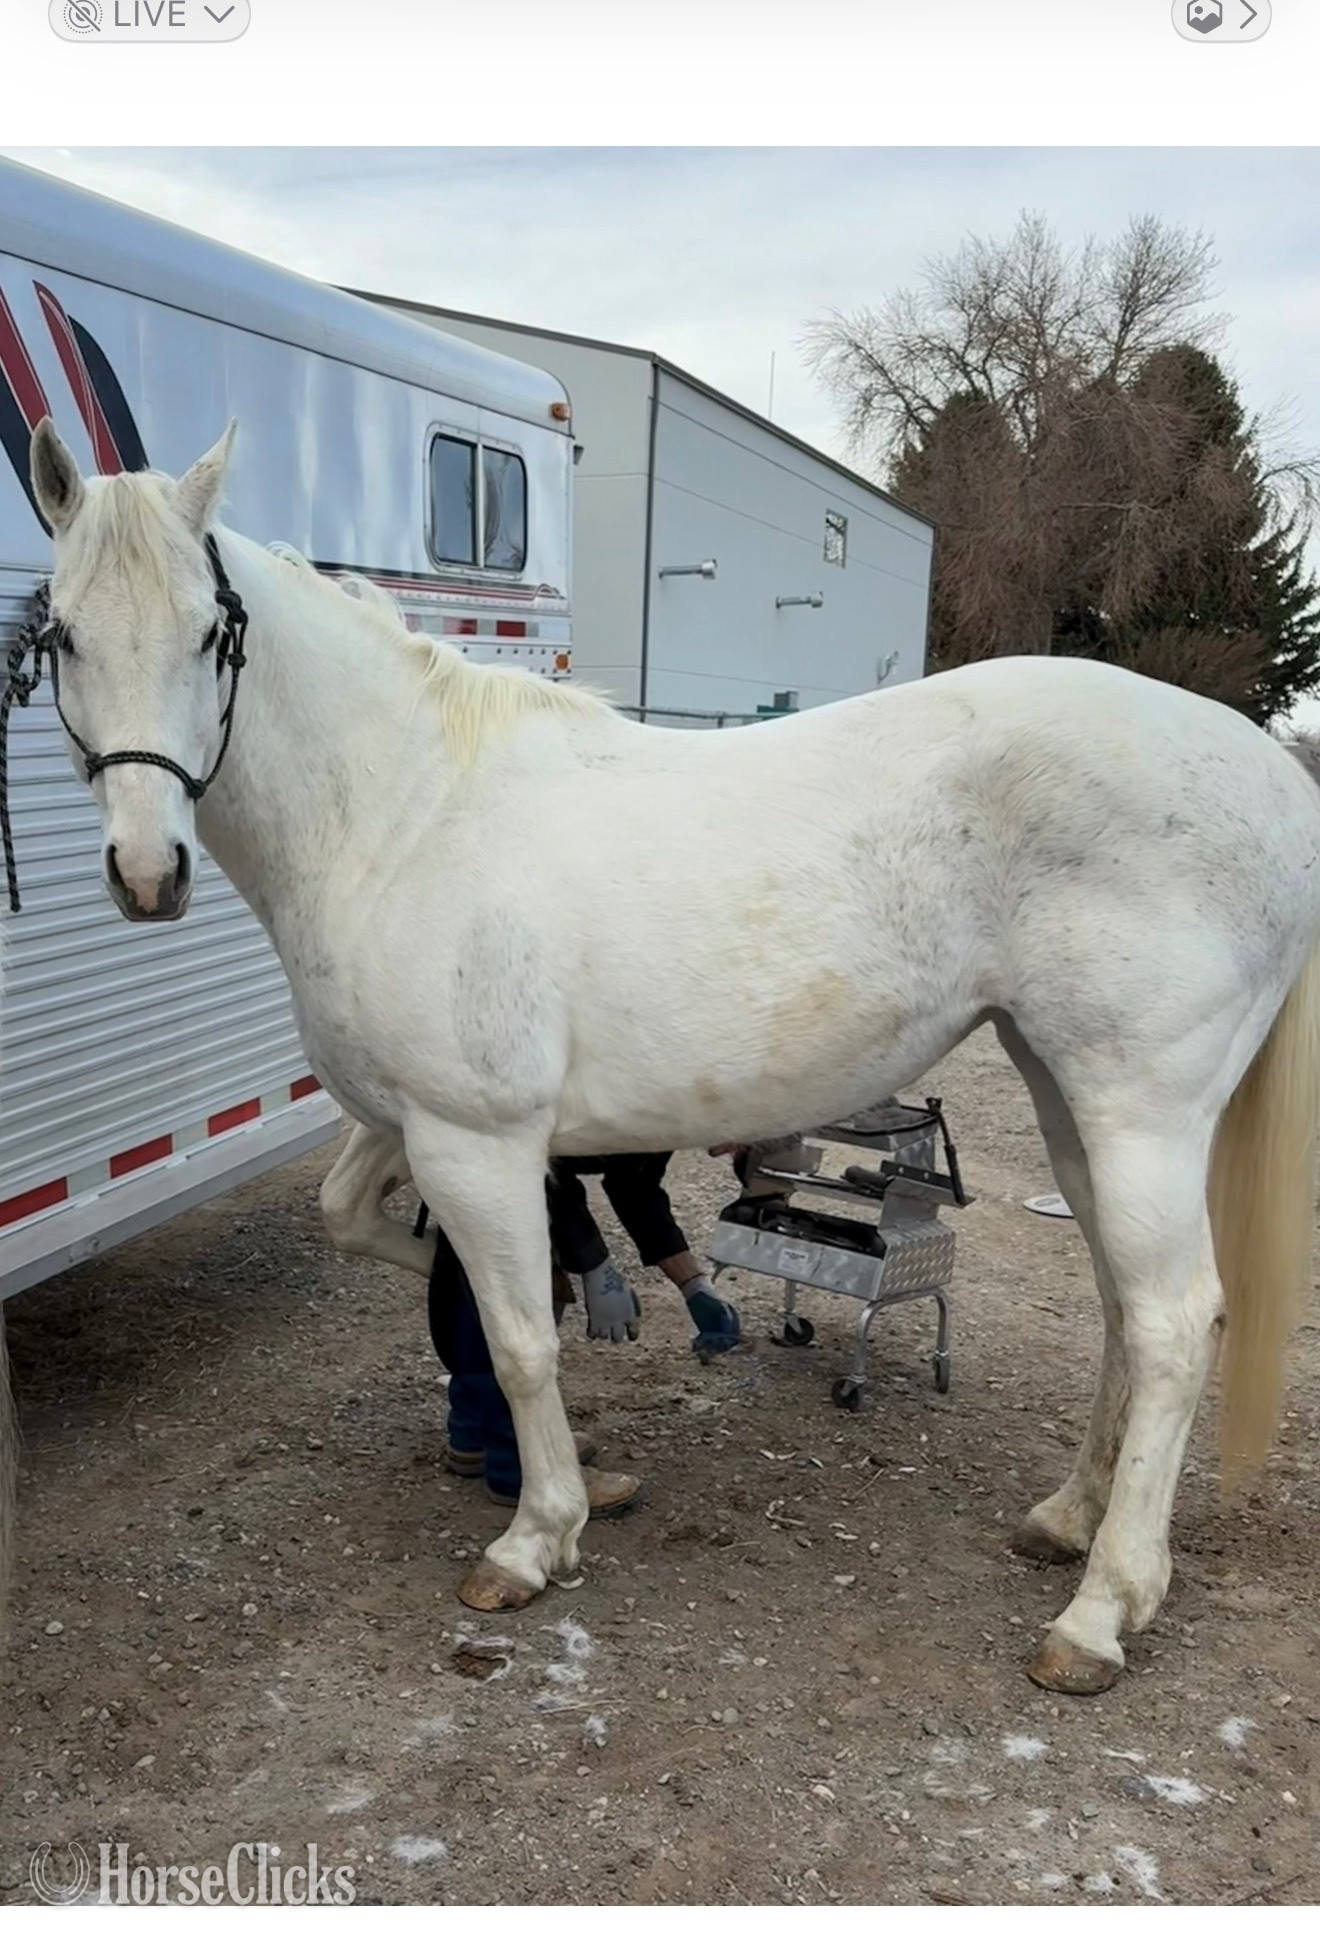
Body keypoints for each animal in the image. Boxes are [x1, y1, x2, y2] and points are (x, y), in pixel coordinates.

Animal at [16, 414, 1320, 1697]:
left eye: (207, 634)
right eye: (65, 633)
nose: (147, 871)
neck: (409, 814)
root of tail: (1273, 777)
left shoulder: (472, 1138)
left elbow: (516, 1340)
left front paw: (536, 1535)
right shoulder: (409, 1121)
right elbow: (365, 1227)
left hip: (1140, 1110)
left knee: (1170, 1321)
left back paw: (1101, 1610)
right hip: (1064, 1094)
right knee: (1119, 1304)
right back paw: (1068, 1517)